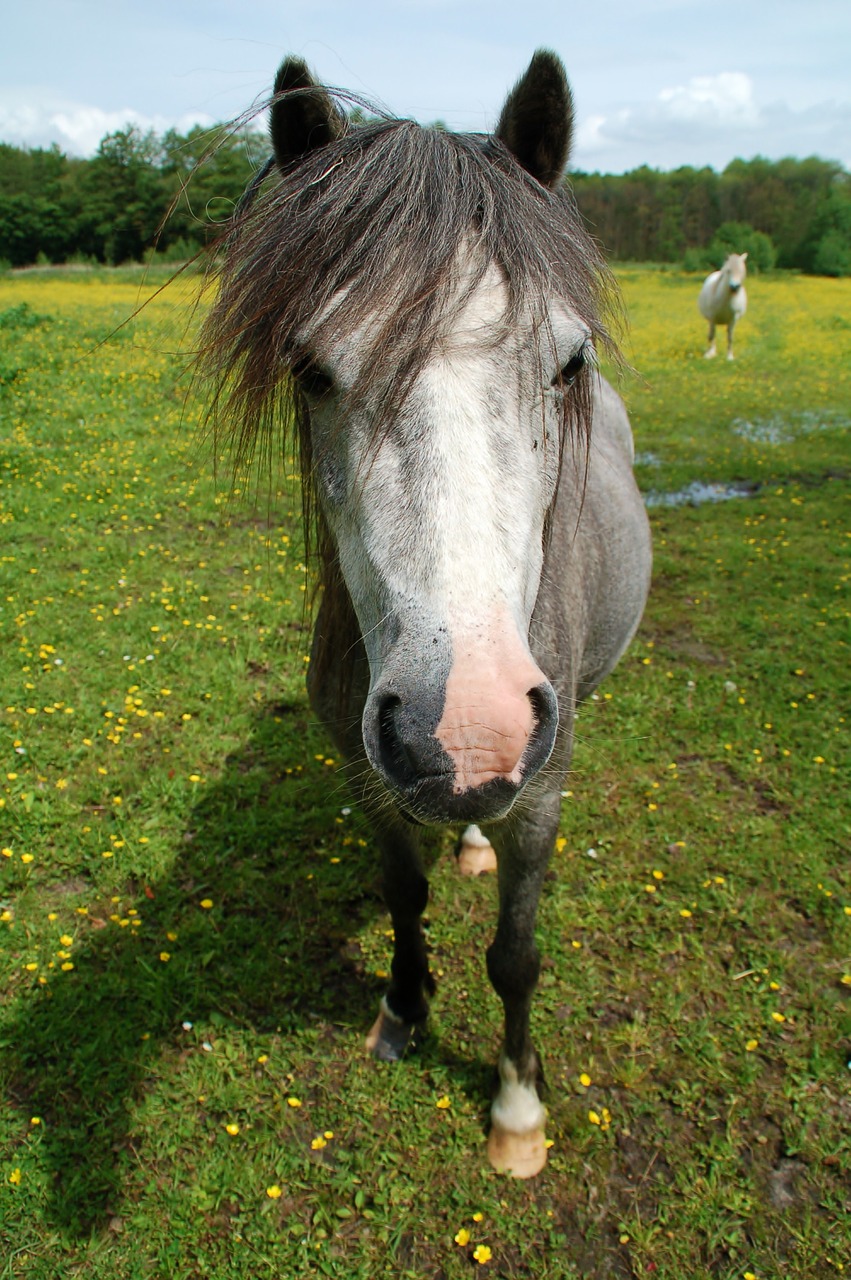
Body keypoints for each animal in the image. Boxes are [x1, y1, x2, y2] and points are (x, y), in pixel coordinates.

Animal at [200, 52, 650, 1177]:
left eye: (568, 361)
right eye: (310, 367)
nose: (467, 730)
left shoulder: (543, 792)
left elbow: (516, 953)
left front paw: (517, 1110)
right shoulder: (365, 772)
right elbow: (403, 897)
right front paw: (403, 1010)